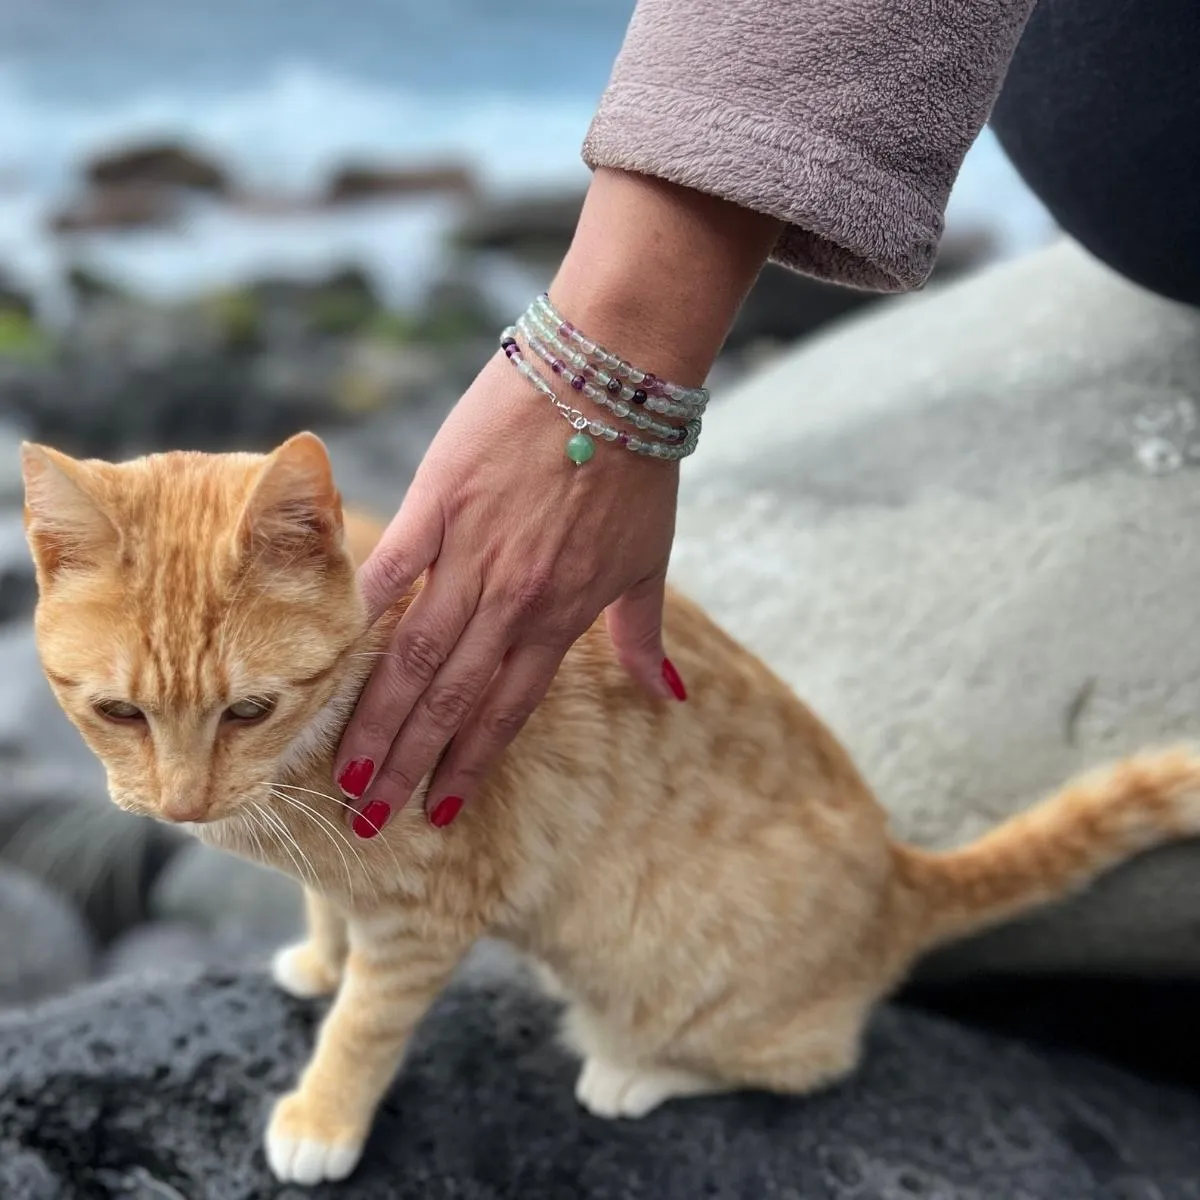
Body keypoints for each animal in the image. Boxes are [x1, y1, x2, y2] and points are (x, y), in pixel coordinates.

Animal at [21, 429, 1200, 1180]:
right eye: (119, 712)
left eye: (250, 708)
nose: (181, 807)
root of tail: (901, 870)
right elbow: (327, 918)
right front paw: (317, 958)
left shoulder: (429, 911)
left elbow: (367, 1022)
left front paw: (322, 1112)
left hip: (690, 986)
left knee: (809, 1061)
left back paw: (637, 1072)